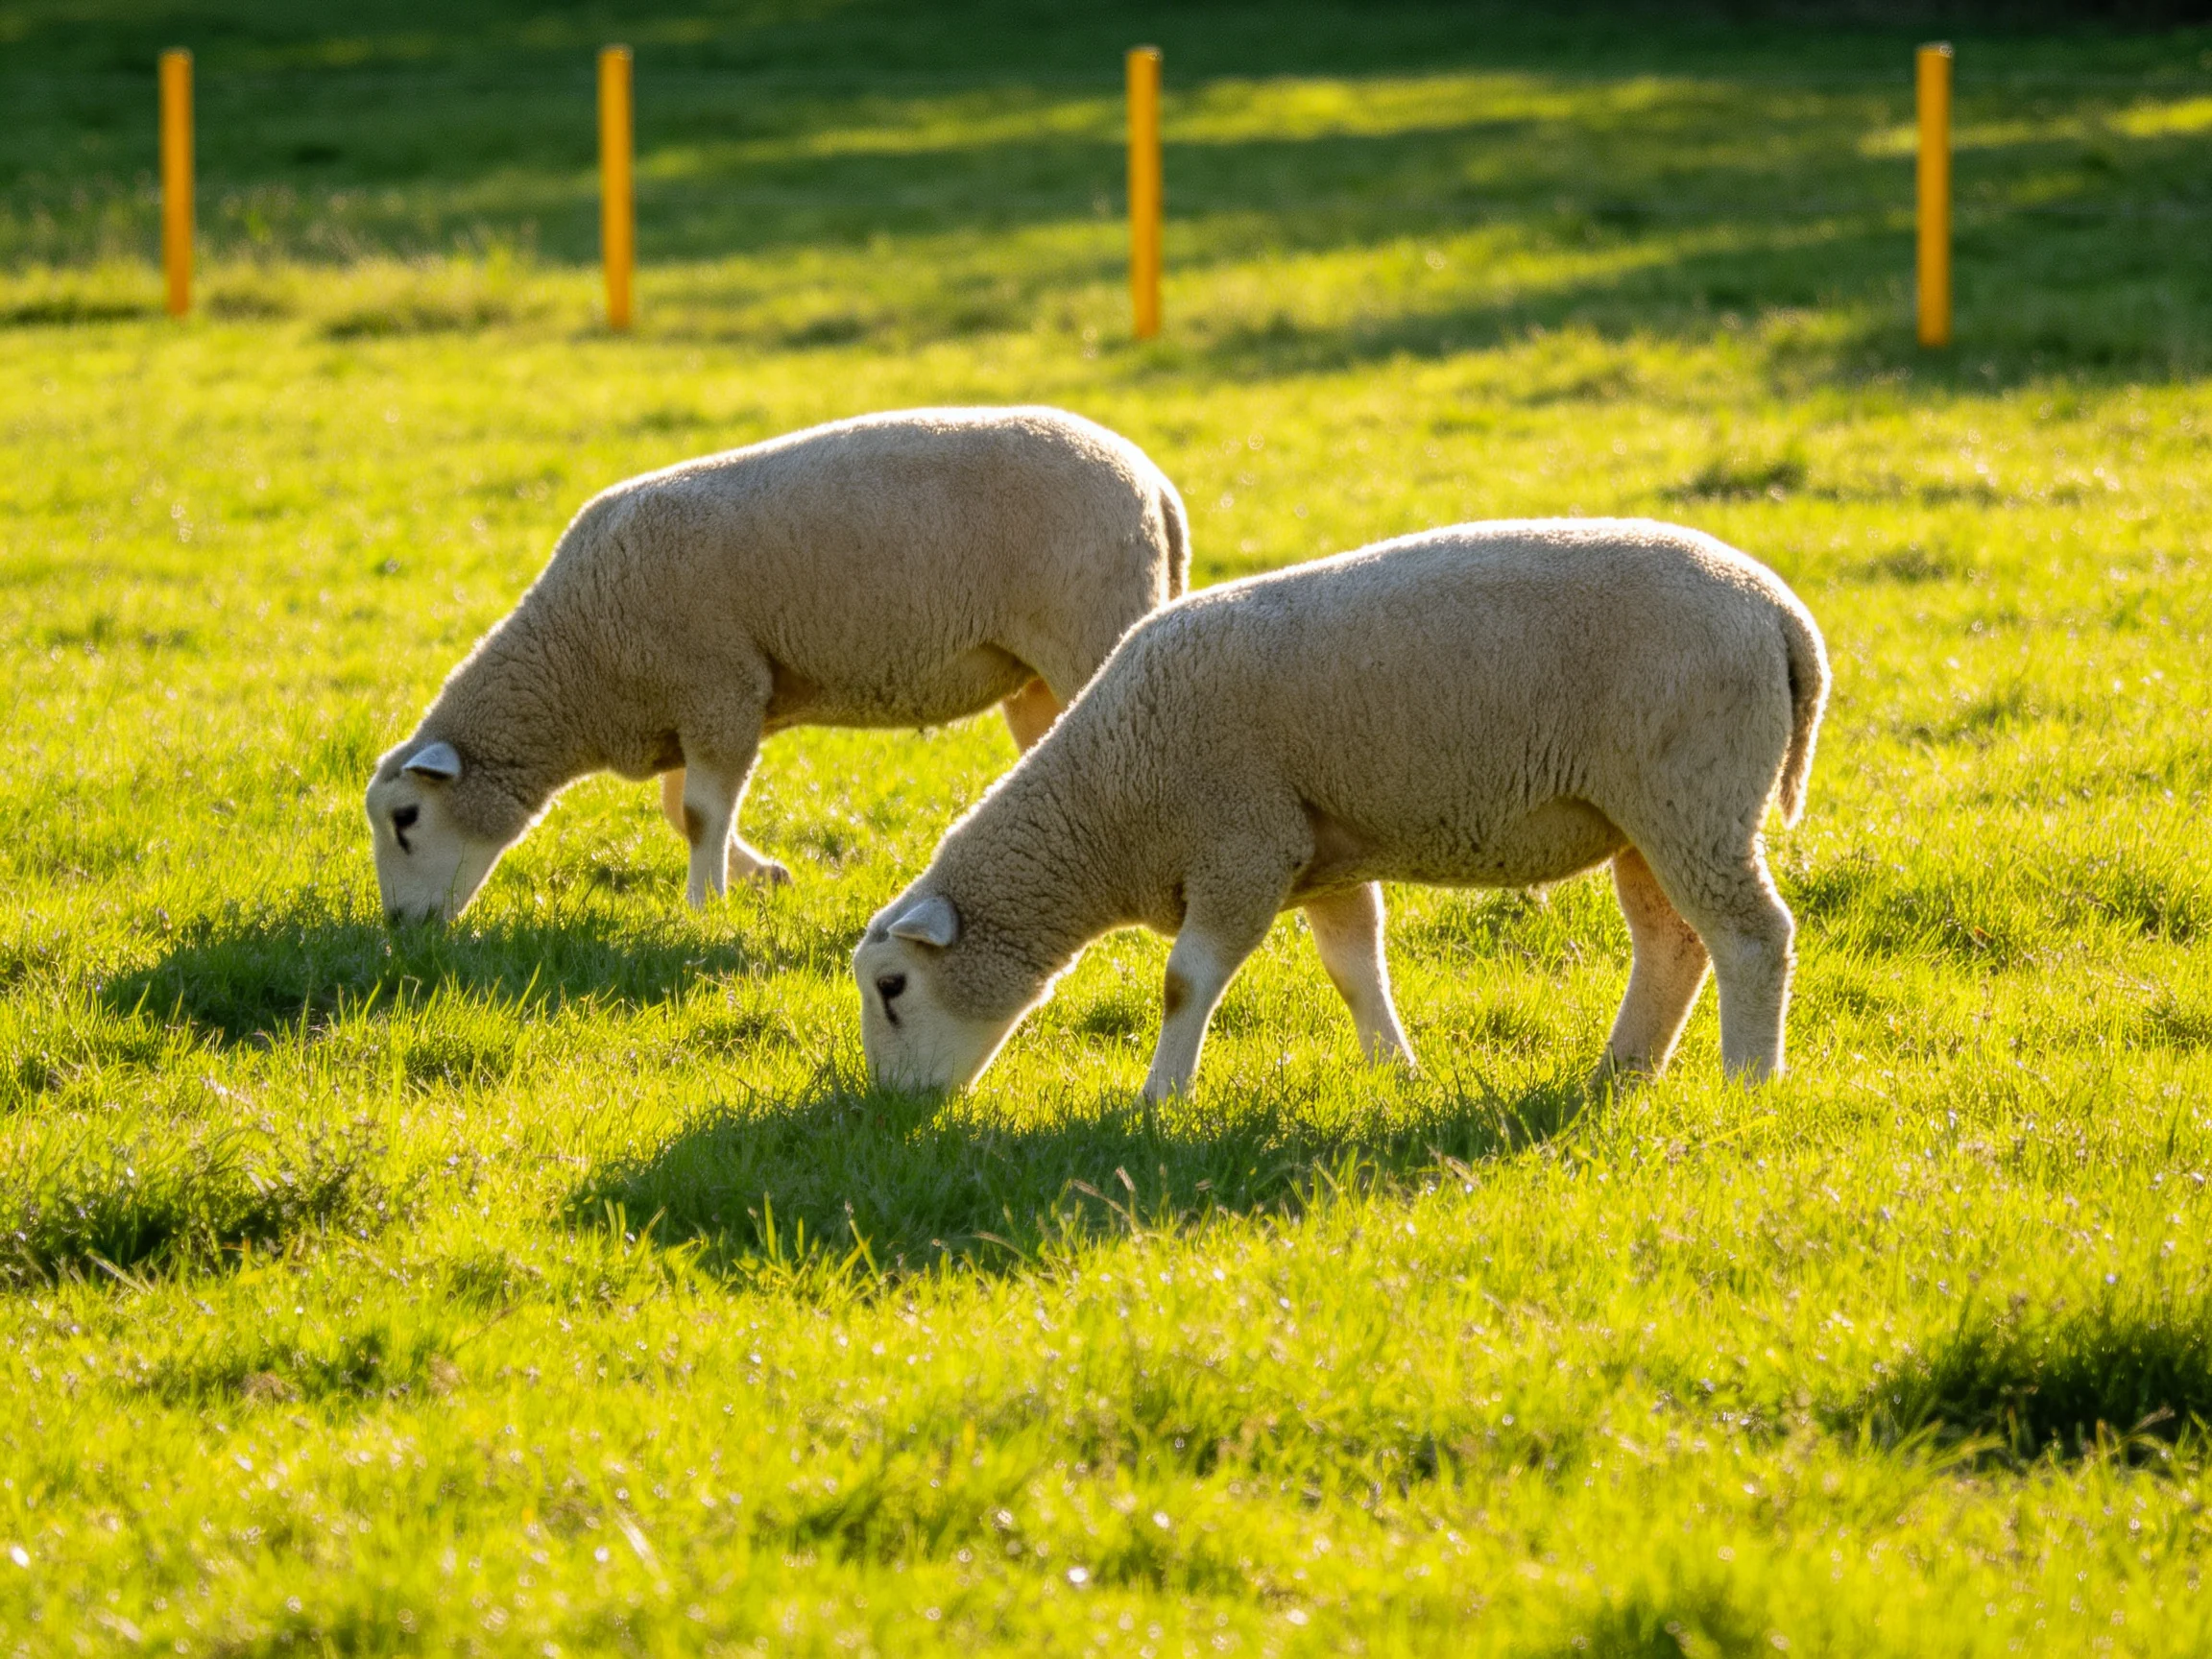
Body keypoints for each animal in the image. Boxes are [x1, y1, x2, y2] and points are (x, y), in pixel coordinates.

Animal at [366, 406, 1188, 923]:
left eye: (407, 819)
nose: (405, 931)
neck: (577, 661)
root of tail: (1154, 484)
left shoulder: (718, 688)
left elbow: (700, 813)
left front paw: (704, 907)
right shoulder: (690, 703)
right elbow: (678, 809)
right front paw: (759, 876)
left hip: (1090, 626)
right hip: (1037, 672)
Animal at [853, 518, 1829, 1098]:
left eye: (893, 987)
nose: (890, 1115)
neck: (1110, 795)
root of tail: (1782, 616)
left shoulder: (1241, 842)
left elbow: (1182, 982)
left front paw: (1161, 1097)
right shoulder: (1318, 854)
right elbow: (1355, 967)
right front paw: (1397, 1070)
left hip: (1692, 794)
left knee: (1751, 938)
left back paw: (1750, 1083)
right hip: (1648, 815)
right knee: (1673, 940)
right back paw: (1618, 1074)